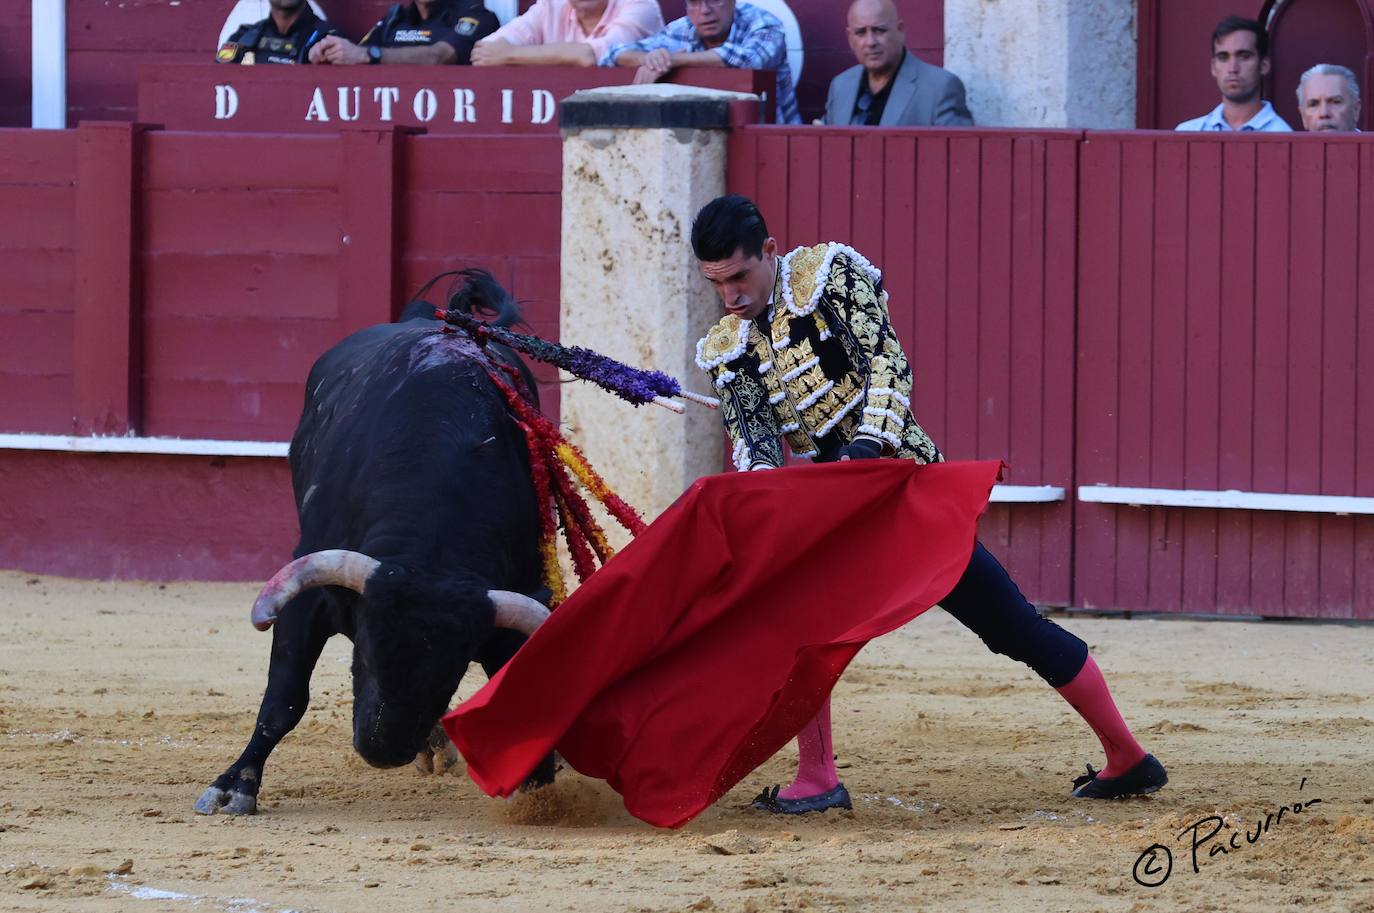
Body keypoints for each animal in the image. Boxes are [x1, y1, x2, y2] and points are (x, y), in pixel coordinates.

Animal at [195, 269, 557, 814]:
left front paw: (541, 788)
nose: (383, 750)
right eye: (364, 652)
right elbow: (284, 698)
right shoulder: (307, 596)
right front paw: (234, 786)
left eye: (452, 672)